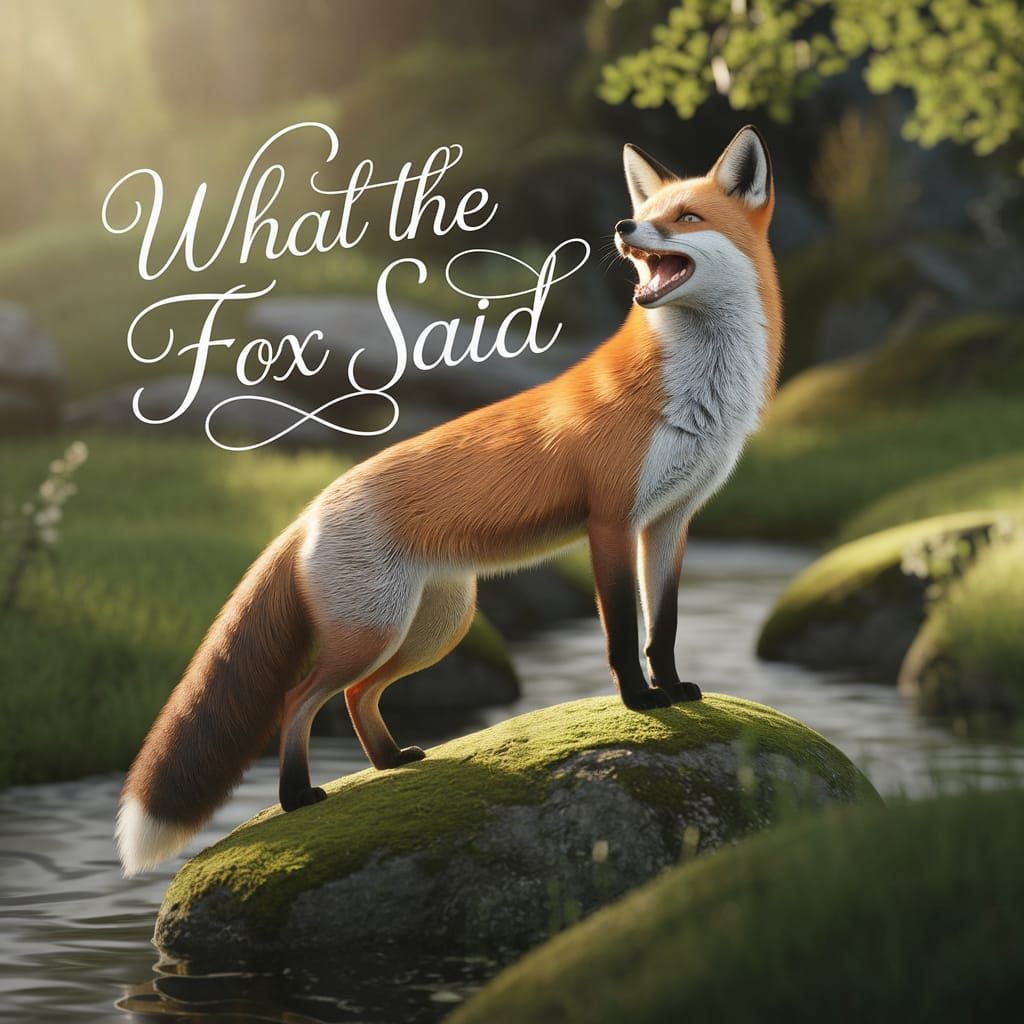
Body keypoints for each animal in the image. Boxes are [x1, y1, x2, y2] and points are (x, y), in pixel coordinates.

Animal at [116, 126, 783, 876]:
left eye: (687, 217)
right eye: (651, 213)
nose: (621, 227)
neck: (694, 393)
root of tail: (309, 510)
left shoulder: (669, 522)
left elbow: (660, 628)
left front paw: (672, 691)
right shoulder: (611, 521)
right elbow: (620, 633)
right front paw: (640, 702)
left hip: (433, 626)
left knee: (357, 695)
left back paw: (388, 761)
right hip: (375, 630)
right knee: (297, 698)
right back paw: (296, 797)